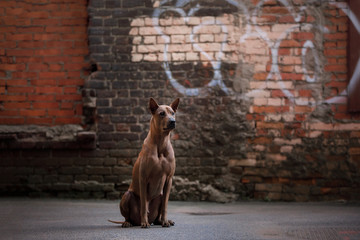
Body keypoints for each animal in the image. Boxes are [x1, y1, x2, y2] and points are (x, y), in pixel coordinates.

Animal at [108, 98, 179, 229]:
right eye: (162, 113)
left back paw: (162, 221)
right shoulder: (143, 178)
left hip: (160, 195)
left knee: (157, 217)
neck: (161, 142)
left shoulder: (169, 179)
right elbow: (144, 206)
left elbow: (165, 206)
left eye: (173, 113)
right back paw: (129, 222)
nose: (173, 121)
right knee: (129, 215)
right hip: (127, 195)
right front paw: (144, 222)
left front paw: (165, 221)